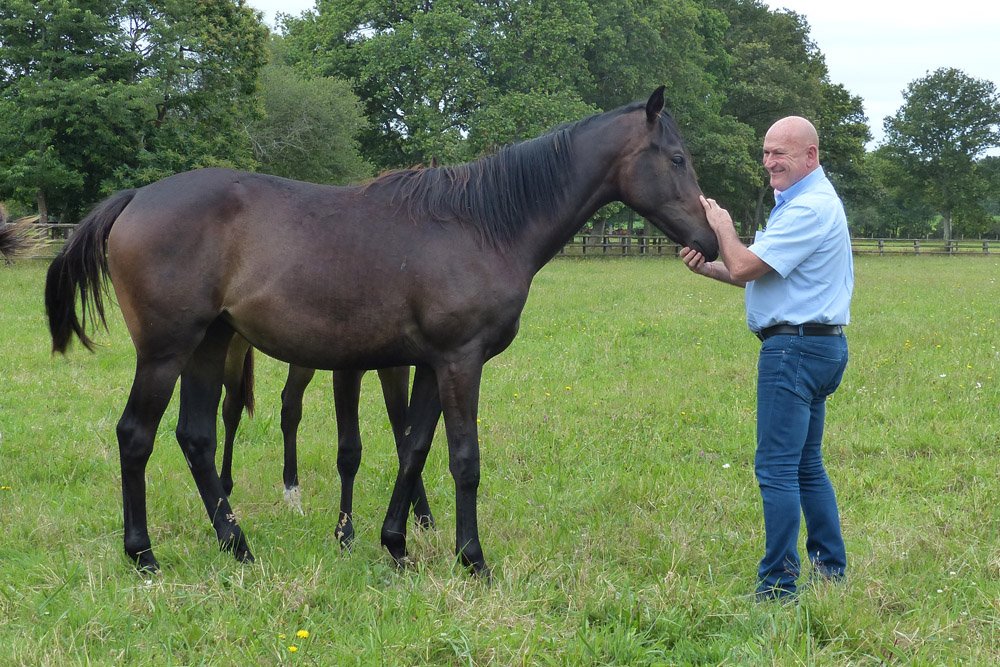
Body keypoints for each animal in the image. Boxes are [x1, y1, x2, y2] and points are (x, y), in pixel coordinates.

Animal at [219, 337, 434, 543]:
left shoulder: (396, 368)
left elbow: (405, 440)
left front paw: (425, 523)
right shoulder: (346, 370)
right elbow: (350, 451)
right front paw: (345, 534)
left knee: (290, 407)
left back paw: (293, 497)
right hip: (235, 344)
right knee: (232, 405)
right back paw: (225, 489)